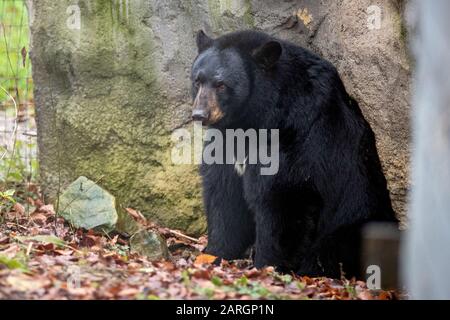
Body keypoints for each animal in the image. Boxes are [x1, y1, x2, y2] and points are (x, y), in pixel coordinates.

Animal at [190, 30, 398, 278]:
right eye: (198, 80)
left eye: (221, 84)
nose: (199, 114)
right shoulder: (227, 142)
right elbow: (223, 192)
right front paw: (213, 253)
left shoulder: (298, 134)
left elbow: (283, 197)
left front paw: (266, 266)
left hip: (358, 218)